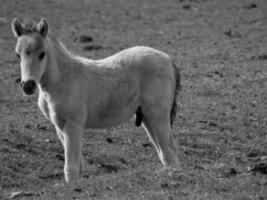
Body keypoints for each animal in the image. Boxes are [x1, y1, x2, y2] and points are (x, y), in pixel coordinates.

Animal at [11, 18, 182, 182]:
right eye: (18, 55)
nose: (27, 85)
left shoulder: (73, 124)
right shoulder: (59, 125)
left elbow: (71, 167)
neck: (63, 80)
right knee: (164, 151)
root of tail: (168, 59)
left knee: (169, 151)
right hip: (146, 117)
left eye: (42, 54)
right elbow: (78, 165)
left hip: (157, 114)